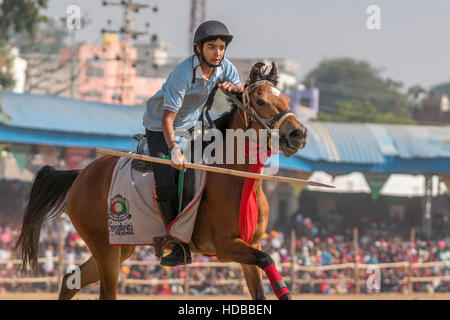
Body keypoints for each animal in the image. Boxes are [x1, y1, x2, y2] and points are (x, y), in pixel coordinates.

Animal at [15, 62, 308, 300]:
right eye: (260, 101)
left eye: (286, 98)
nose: (298, 133)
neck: (235, 178)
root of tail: (80, 174)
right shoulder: (226, 246)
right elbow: (267, 257)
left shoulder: (251, 246)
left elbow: (261, 279)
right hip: (105, 248)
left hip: (120, 246)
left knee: (69, 281)